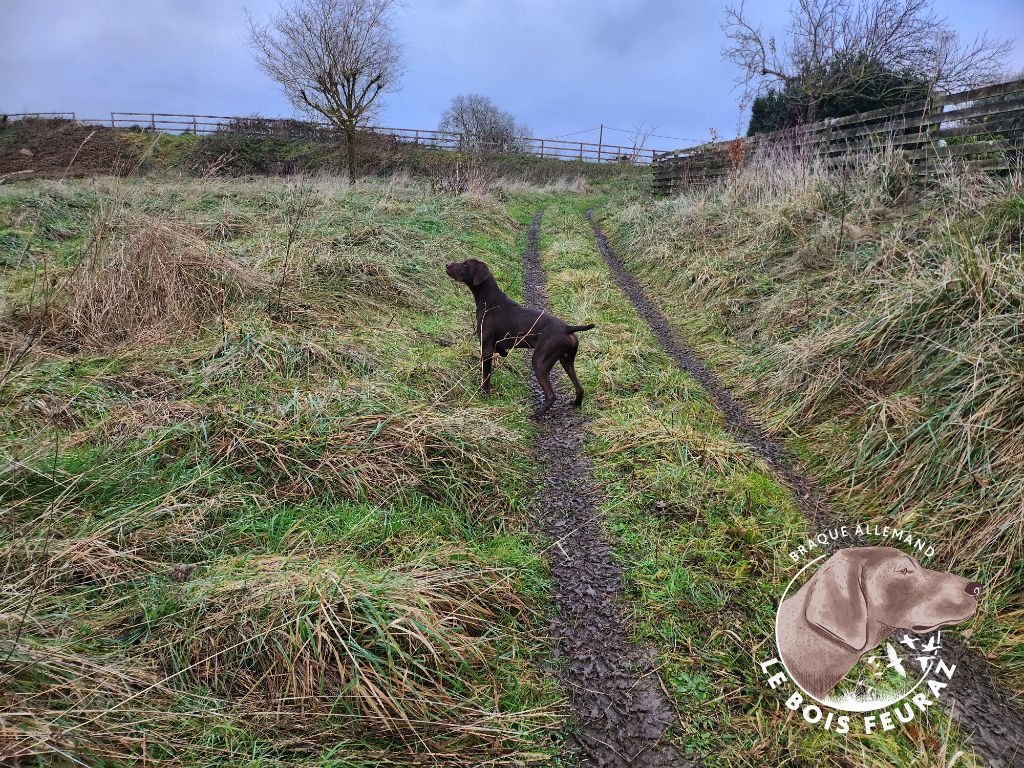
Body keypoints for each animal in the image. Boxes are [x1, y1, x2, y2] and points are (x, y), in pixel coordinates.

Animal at [444, 259, 598, 417]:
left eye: (466, 264)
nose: (447, 264)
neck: (489, 301)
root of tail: (568, 328)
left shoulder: (486, 350)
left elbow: (486, 378)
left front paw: (484, 396)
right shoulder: (494, 346)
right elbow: (501, 350)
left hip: (540, 362)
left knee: (551, 395)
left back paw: (537, 414)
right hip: (566, 361)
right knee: (580, 388)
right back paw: (576, 404)